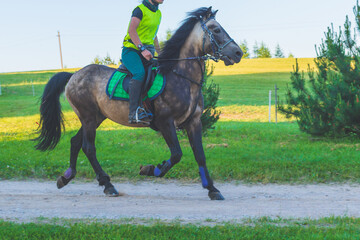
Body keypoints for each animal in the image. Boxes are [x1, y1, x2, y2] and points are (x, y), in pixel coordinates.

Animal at [34, 6, 242, 200]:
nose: (238, 52)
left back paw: (67, 177)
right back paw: (108, 185)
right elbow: (176, 154)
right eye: (216, 29)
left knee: (76, 142)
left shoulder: (194, 122)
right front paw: (150, 169)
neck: (181, 76)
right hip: (88, 117)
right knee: (88, 147)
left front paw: (212, 189)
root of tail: (73, 75)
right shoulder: (166, 122)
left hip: (96, 117)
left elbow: (200, 155)